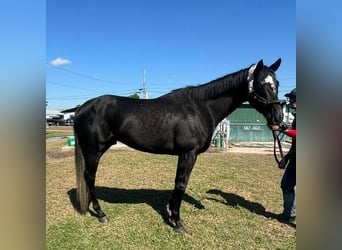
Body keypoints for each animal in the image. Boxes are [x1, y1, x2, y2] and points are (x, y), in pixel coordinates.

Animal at [73, 58, 284, 232]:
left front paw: (172, 214)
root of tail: (82, 108)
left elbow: (179, 184)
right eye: (261, 84)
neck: (200, 108)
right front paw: (177, 222)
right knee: (89, 177)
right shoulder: (188, 153)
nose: (278, 117)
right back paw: (101, 214)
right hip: (93, 150)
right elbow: (181, 184)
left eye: (277, 84)